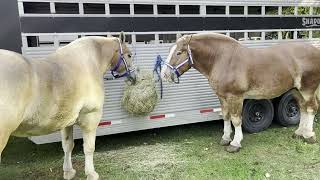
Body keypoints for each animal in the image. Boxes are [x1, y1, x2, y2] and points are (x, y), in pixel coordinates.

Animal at [0, 33, 135, 179]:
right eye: (129, 55)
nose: (134, 76)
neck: (89, 61)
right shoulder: (91, 116)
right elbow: (89, 147)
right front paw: (91, 173)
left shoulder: (66, 121)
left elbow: (67, 145)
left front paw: (68, 171)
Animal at [161, 33, 320, 153]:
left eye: (179, 52)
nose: (164, 74)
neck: (222, 59)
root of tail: (315, 51)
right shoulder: (222, 97)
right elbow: (226, 117)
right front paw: (225, 138)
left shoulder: (235, 97)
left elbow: (236, 119)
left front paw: (235, 143)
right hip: (296, 91)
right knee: (303, 108)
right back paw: (299, 132)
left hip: (308, 89)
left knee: (311, 109)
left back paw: (309, 135)